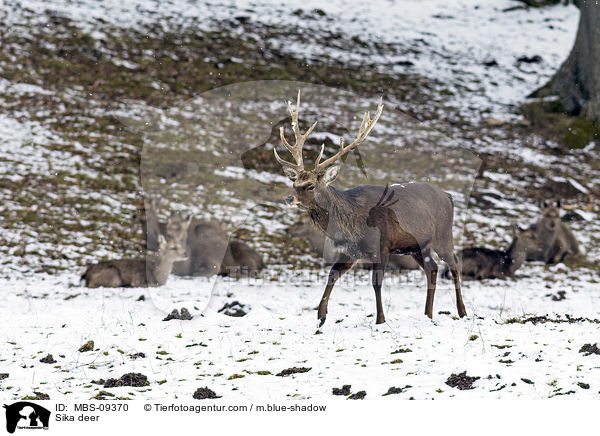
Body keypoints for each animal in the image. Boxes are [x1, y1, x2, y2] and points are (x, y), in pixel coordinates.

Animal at [274, 90, 466, 326]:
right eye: (294, 183)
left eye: (310, 185)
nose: (288, 199)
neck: (351, 223)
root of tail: (449, 196)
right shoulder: (349, 252)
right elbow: (332, 274)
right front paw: (321, 316)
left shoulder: (381, 246)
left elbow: (376, 282)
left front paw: (380, 319)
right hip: (418, 245)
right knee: (433, 269)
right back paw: (428, 314)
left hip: (443, 234)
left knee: (454, 264)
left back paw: (462, 311)